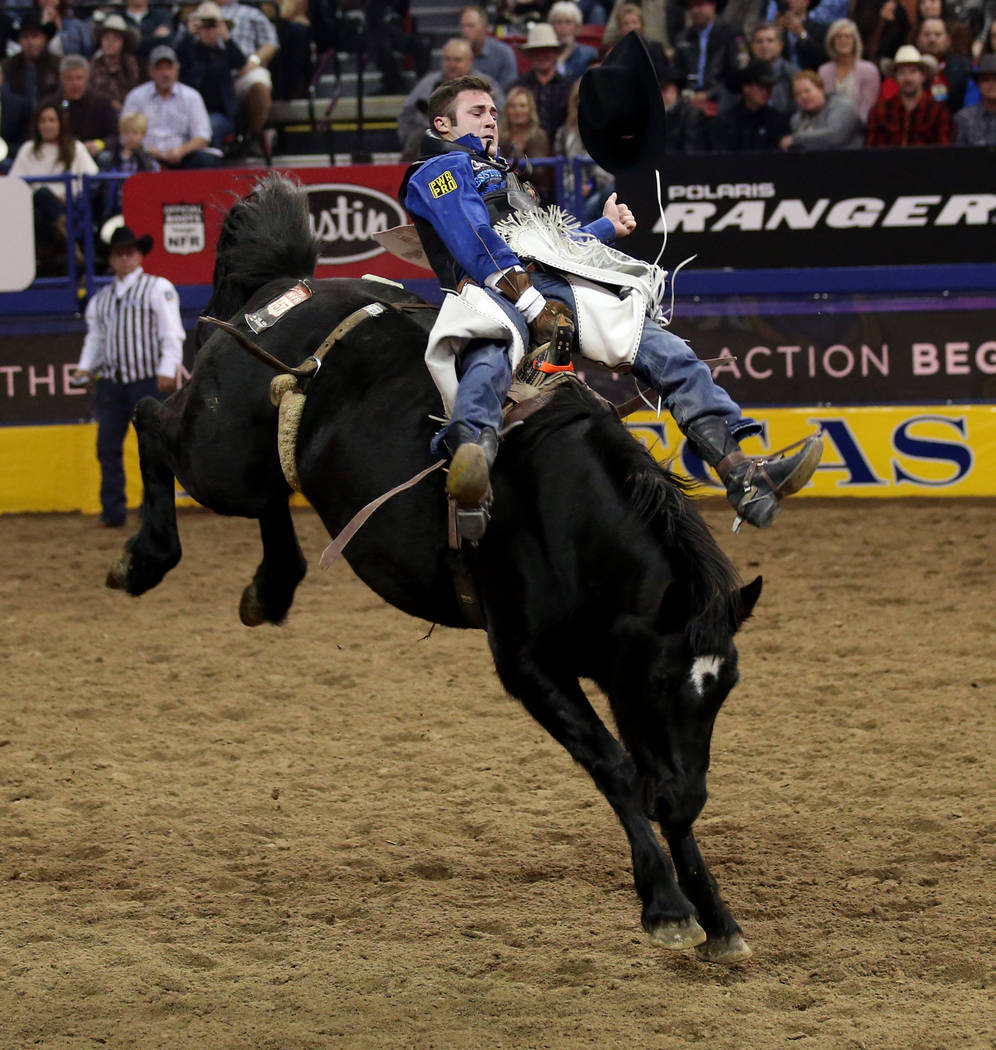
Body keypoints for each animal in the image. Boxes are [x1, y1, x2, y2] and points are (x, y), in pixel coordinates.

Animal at [110, 174, 759, 965]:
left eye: (724, 690)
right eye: (667, 681)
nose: (690, 797)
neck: (568, 511)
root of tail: (277, 292)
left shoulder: (614, 671)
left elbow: (645, 776)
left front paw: (715, 914)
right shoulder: (529, 663)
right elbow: (617, 767)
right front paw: (665, 904)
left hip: (255, 459)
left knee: (266, 495)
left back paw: (271, 586)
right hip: (218, 452)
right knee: (148, 418)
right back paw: (143, 559)